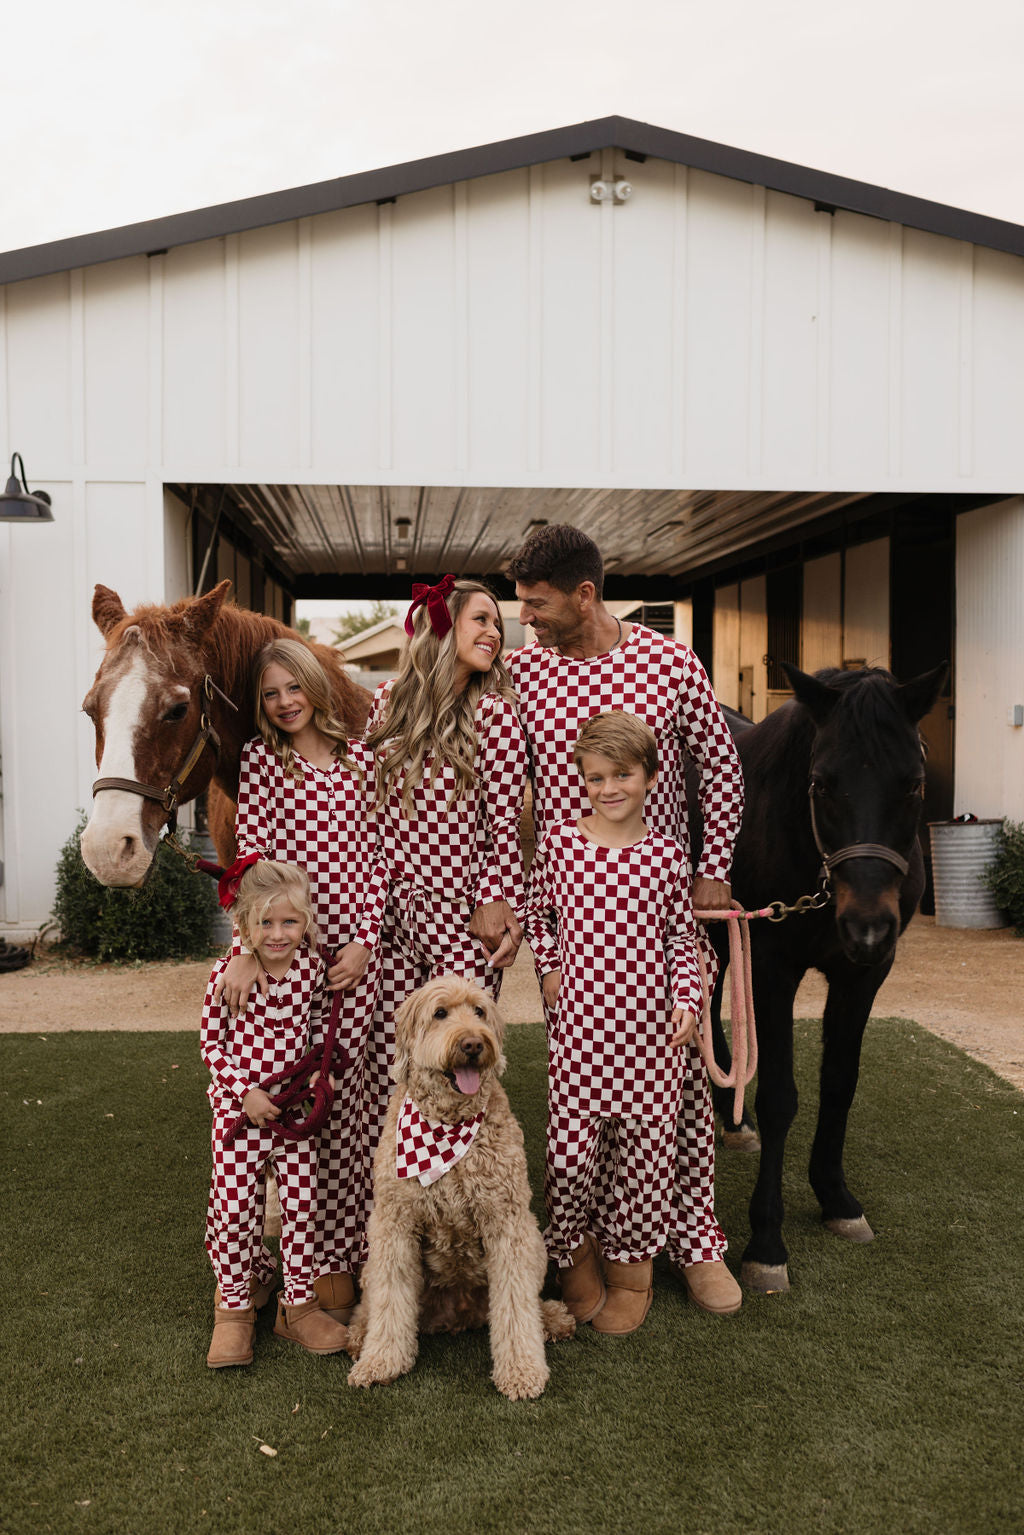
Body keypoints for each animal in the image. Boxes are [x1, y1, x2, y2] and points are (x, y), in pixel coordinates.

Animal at [346, 976, 577, 1399]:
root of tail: (457, 1317)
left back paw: (552, 1318)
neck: (448, 1128)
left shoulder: (508, 1224)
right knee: (370, 1304)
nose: (472, 1043)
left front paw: (522, 1371)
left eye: (480, 1011)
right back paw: (357, 1336)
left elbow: (516, 1306)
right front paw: (380, 1362)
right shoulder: (394, 1226)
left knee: (527, 1302)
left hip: (534, 1245)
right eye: (440, 1013)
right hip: (373, 1261)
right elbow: (390, 1301)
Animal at [700, 663, 951, 1295]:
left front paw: (836, 1198)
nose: (867, 925)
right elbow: (780, 1097)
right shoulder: (773, 968)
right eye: (820, 784)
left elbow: (840, 1082)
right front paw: (767, 1242)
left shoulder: (863, 974)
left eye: (913, 784)